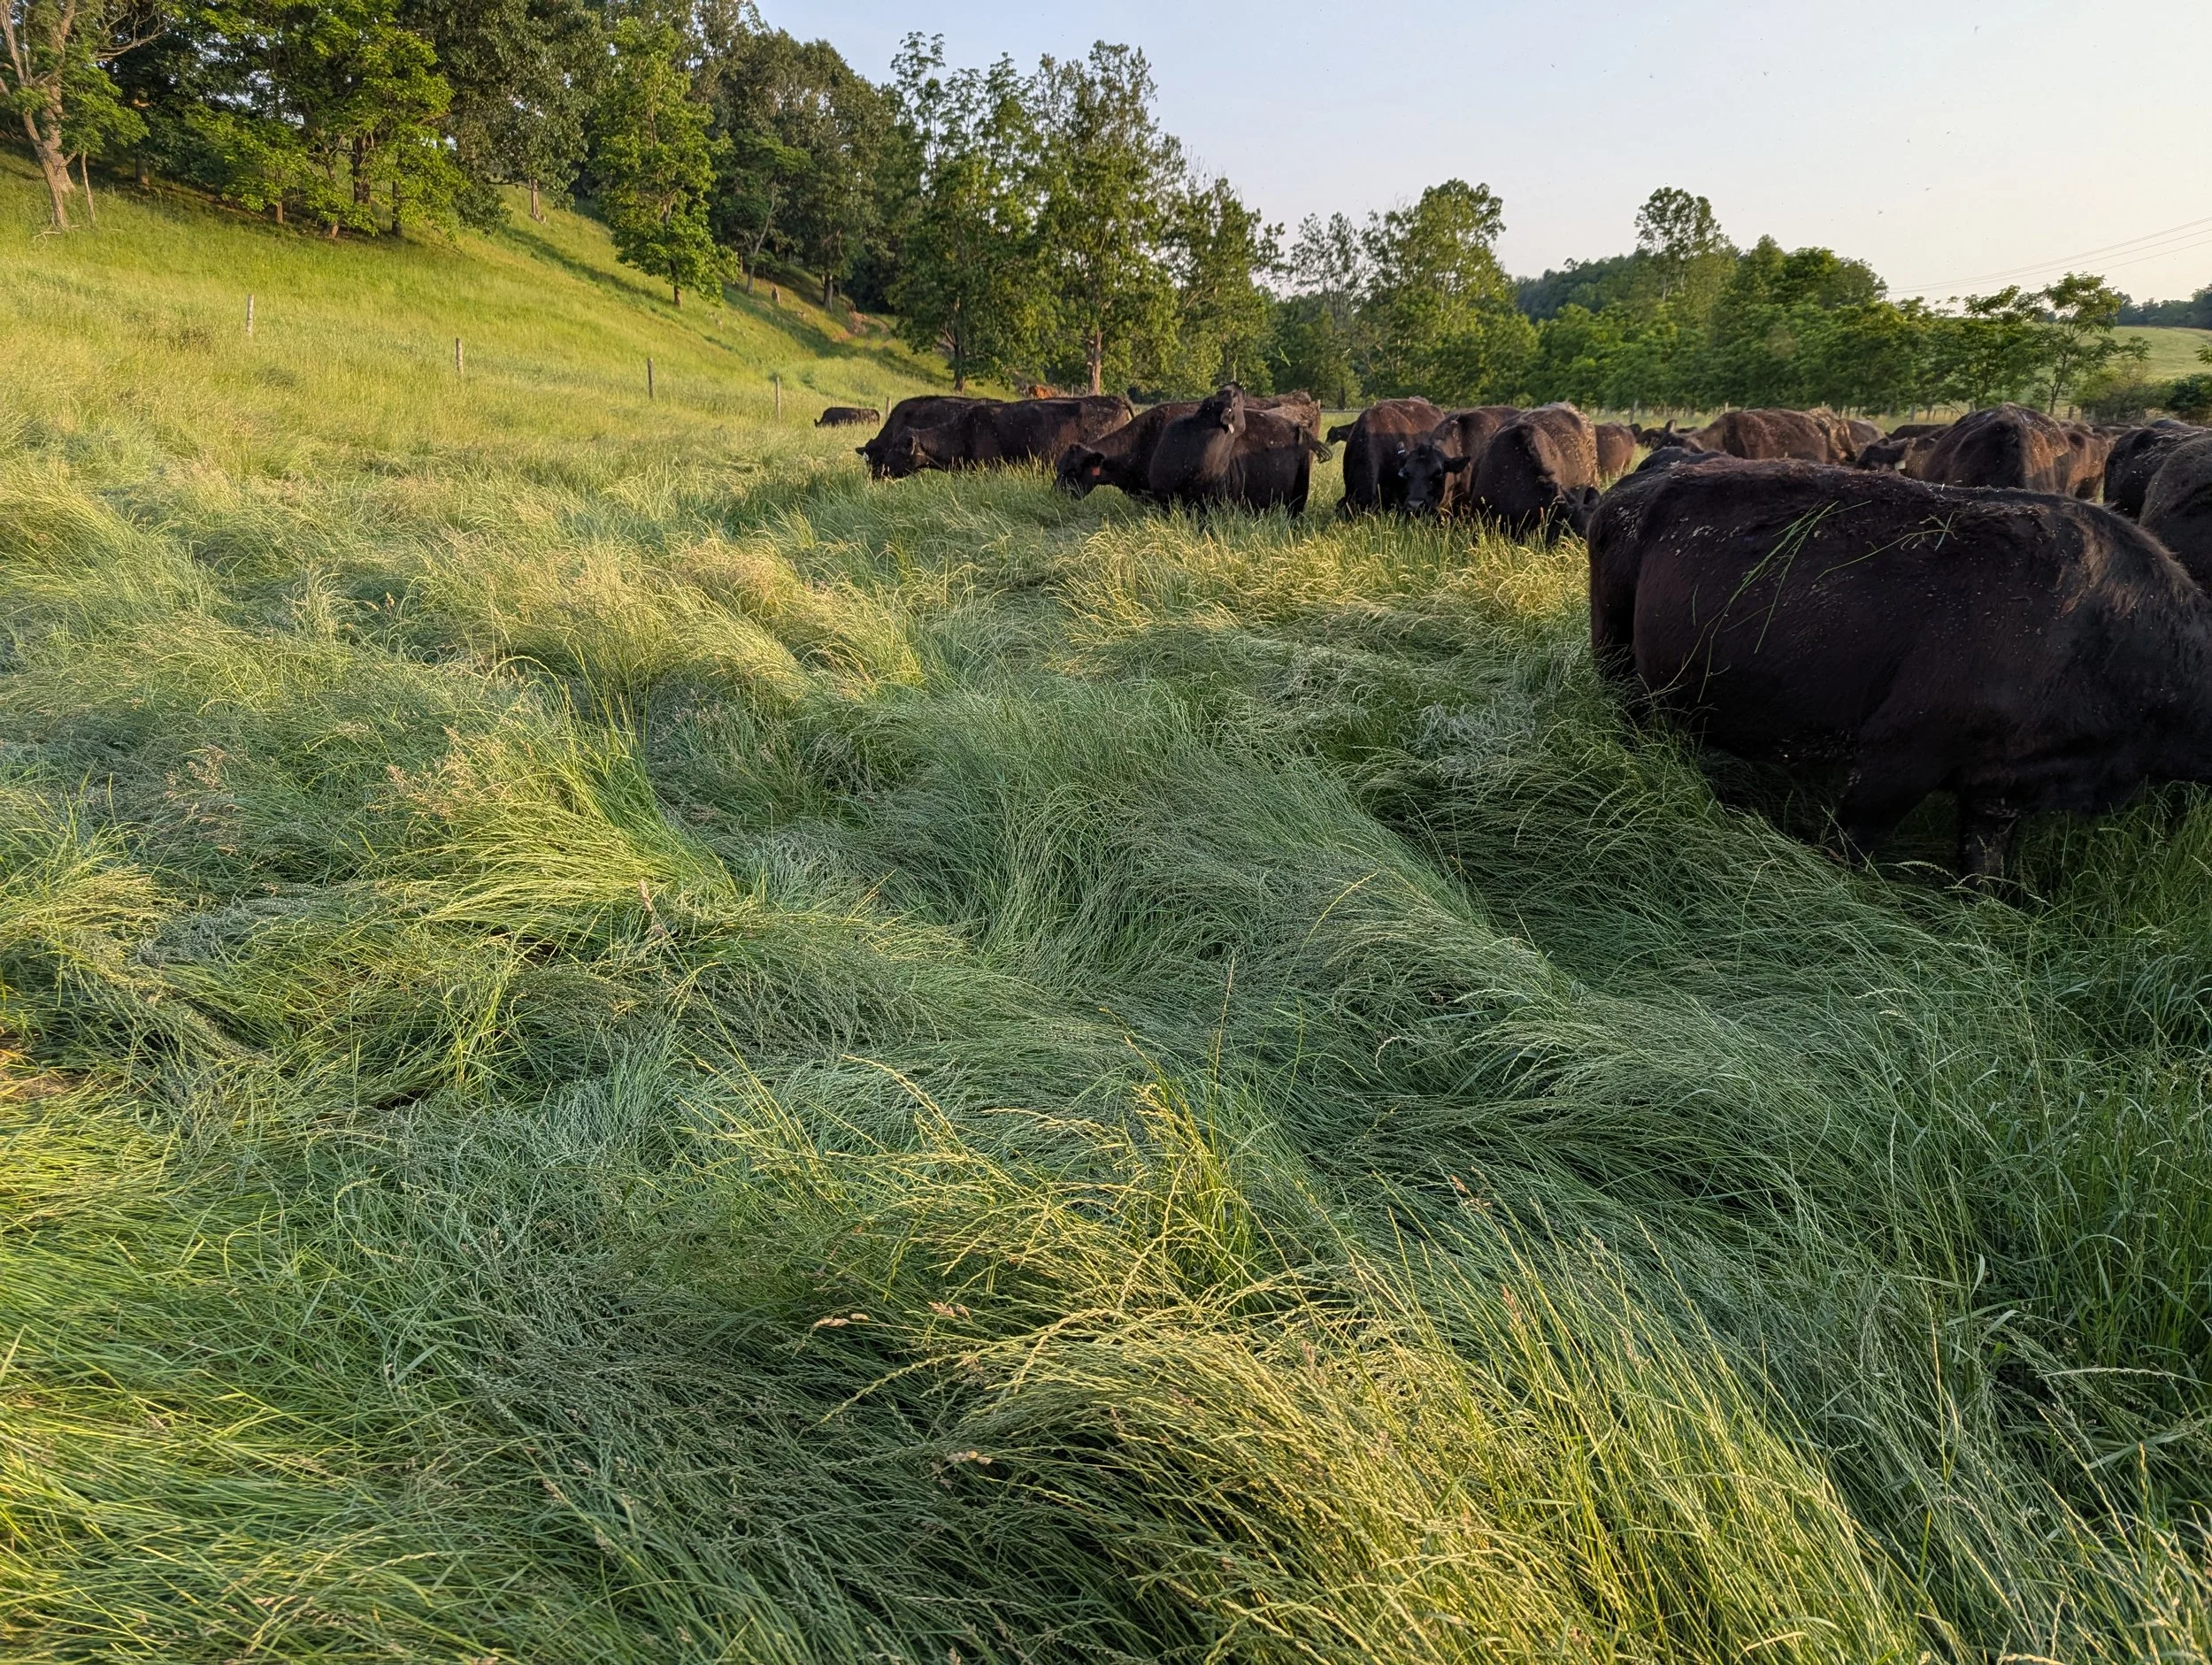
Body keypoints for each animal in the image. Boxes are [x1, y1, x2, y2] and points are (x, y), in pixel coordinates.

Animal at [1588, 459, 2212, 881]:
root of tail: (1637, 485)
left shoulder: (1999, 788)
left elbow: (1984, 869)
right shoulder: (1899, 755)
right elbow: (1849, 848)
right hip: (1617, 661)